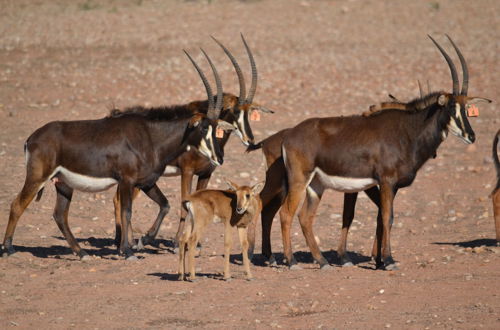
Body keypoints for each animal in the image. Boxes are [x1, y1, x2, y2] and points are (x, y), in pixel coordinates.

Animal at [1, 49, 234, 260]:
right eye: (203, 128)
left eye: (217, 127)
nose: (219, 158)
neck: (150, 136)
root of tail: (32, 138)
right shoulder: (127, 180)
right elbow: (127, 211)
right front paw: (128, 251)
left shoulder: (146, 181)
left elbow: (164, 205)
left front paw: (139, 242)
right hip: (37, 177)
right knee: (17, 204)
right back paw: (8, 249)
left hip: (63, 184)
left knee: (60, 215)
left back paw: (82, 253)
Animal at [112, 34, 274, 249]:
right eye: (234, 111)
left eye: (249, 113)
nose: (251, 140)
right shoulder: (187, 171)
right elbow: (184, 204)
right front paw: (175, 242)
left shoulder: (205, 174)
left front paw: (194, 242)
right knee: (120, 201)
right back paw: (128, 241)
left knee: (117, 199)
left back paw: (120, 239)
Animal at [252, 34, 490, 270]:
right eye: (450, 107)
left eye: (466, 109)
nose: (471, 136)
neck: (408, 130)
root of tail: (288, 136)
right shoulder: (386, 182)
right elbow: (386, 217)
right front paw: (388, 260)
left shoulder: (386, 186)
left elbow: (380, 218)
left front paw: (379, 260)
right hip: (298, 181)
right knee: (285, 214)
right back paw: (291, 261)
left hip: (316, 185)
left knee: (304, 217)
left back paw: (322, 261)